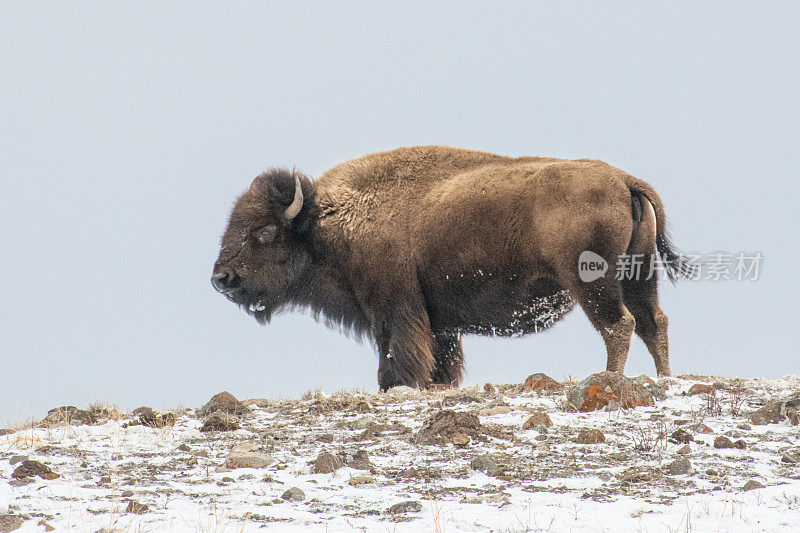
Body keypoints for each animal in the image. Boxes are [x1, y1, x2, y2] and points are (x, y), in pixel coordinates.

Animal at [211, 145, 688, 390]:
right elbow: (441, 363)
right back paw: (665, 380)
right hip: (639, 276)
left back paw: (608, 380)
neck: (327, 220)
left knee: (619, 325)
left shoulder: (394, 311)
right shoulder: (438, 324)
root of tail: (624, 179)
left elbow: (395, 359)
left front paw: (397, 387)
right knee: (653, 322)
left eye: (265, 231)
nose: (221, 278)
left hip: (594, 284)